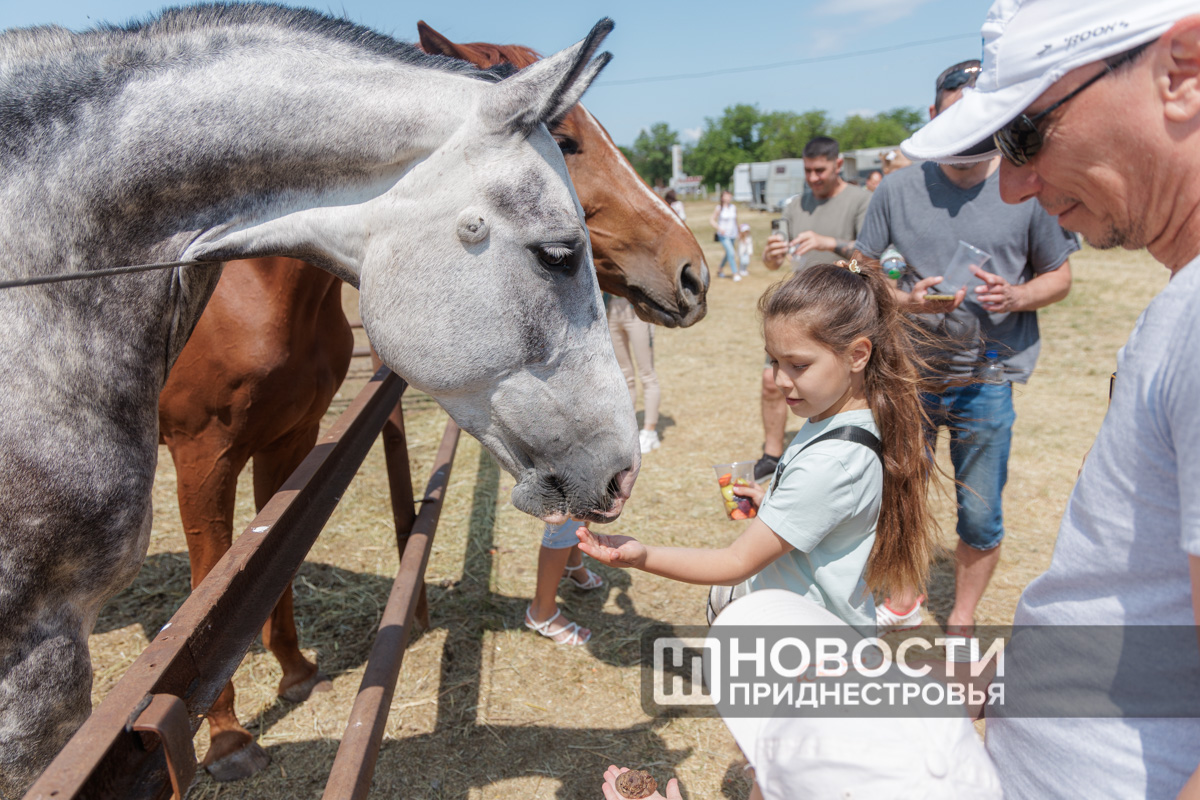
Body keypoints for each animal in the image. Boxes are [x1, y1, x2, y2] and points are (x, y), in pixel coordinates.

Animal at [155, 21, 709, 781]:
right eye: (566, 139)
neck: (252, 291)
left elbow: (270, 573)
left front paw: (297, 672)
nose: (694, 275)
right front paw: (229, 737)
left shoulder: (291, 439)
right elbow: (209, 597)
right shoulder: (201, 457)